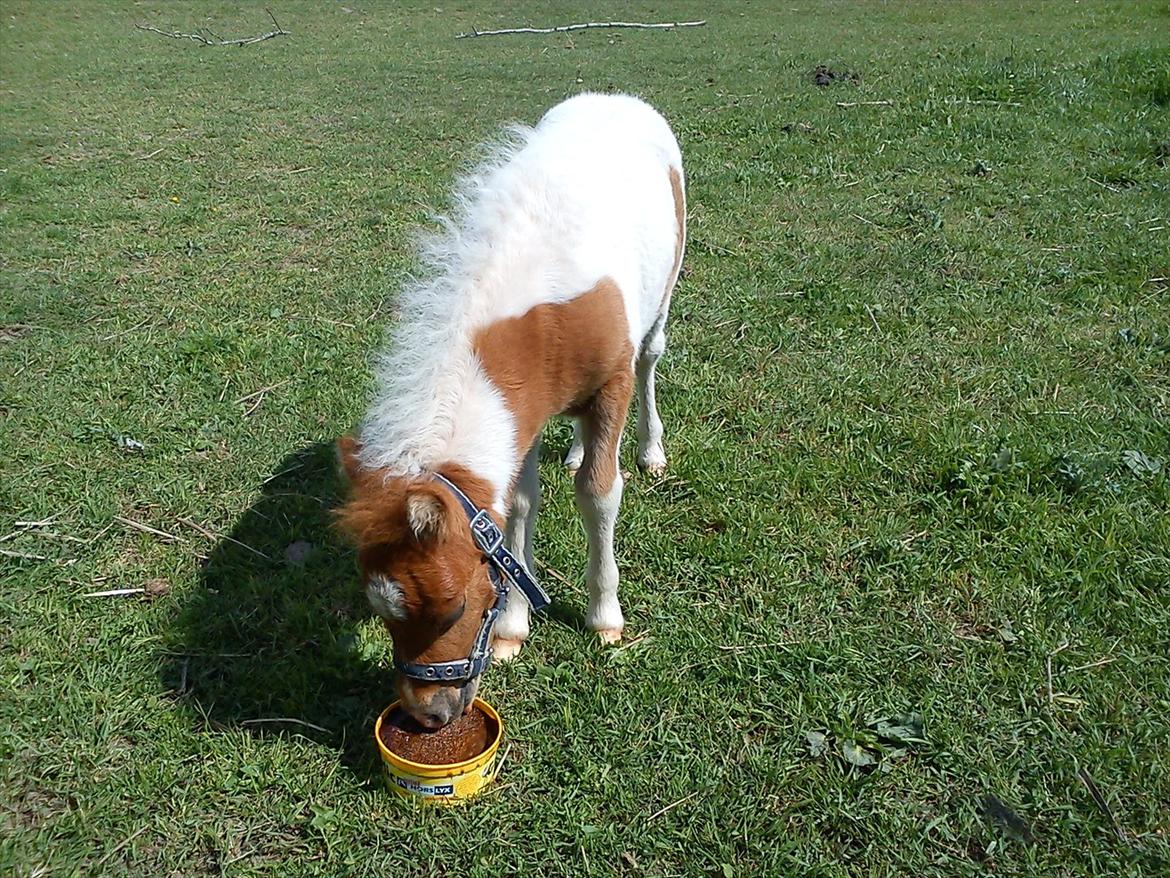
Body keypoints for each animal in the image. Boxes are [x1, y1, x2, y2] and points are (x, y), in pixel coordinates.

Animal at [336, 94, 683, 730]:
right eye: (383, 612)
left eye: (454, 607)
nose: (428, 715)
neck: (545, 309)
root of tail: (616, 97)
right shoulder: (525, 414)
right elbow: (520, 504)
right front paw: (514, 630)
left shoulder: (611, 387)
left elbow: (600, 492)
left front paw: (605, 618)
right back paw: (573, 450)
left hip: (662, 302)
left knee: (652, 359)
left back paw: (650, 451)